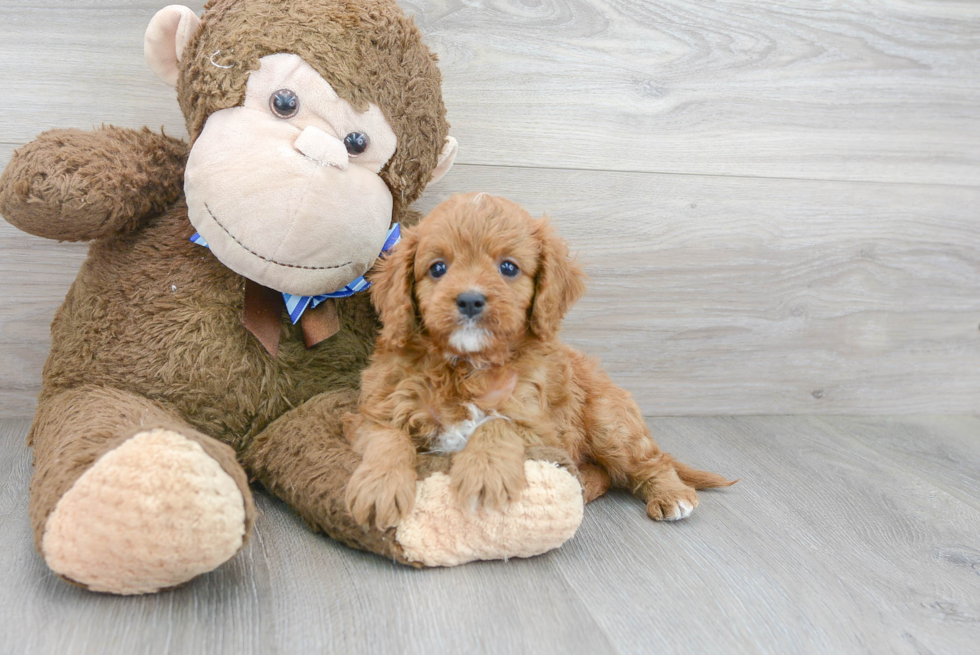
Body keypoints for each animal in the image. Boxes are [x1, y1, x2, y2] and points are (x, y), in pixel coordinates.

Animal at [344, 192, 736, 532]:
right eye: (438, 268)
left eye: (508, 267)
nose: (470, 300)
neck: (467, 365)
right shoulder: (377, 409)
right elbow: (387, 438)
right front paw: (379, 488)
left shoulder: (538, 424)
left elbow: (496, 424)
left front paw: (486, 474)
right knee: (603, 473)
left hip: (609, 424)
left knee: (650, 461)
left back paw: (671, 495)